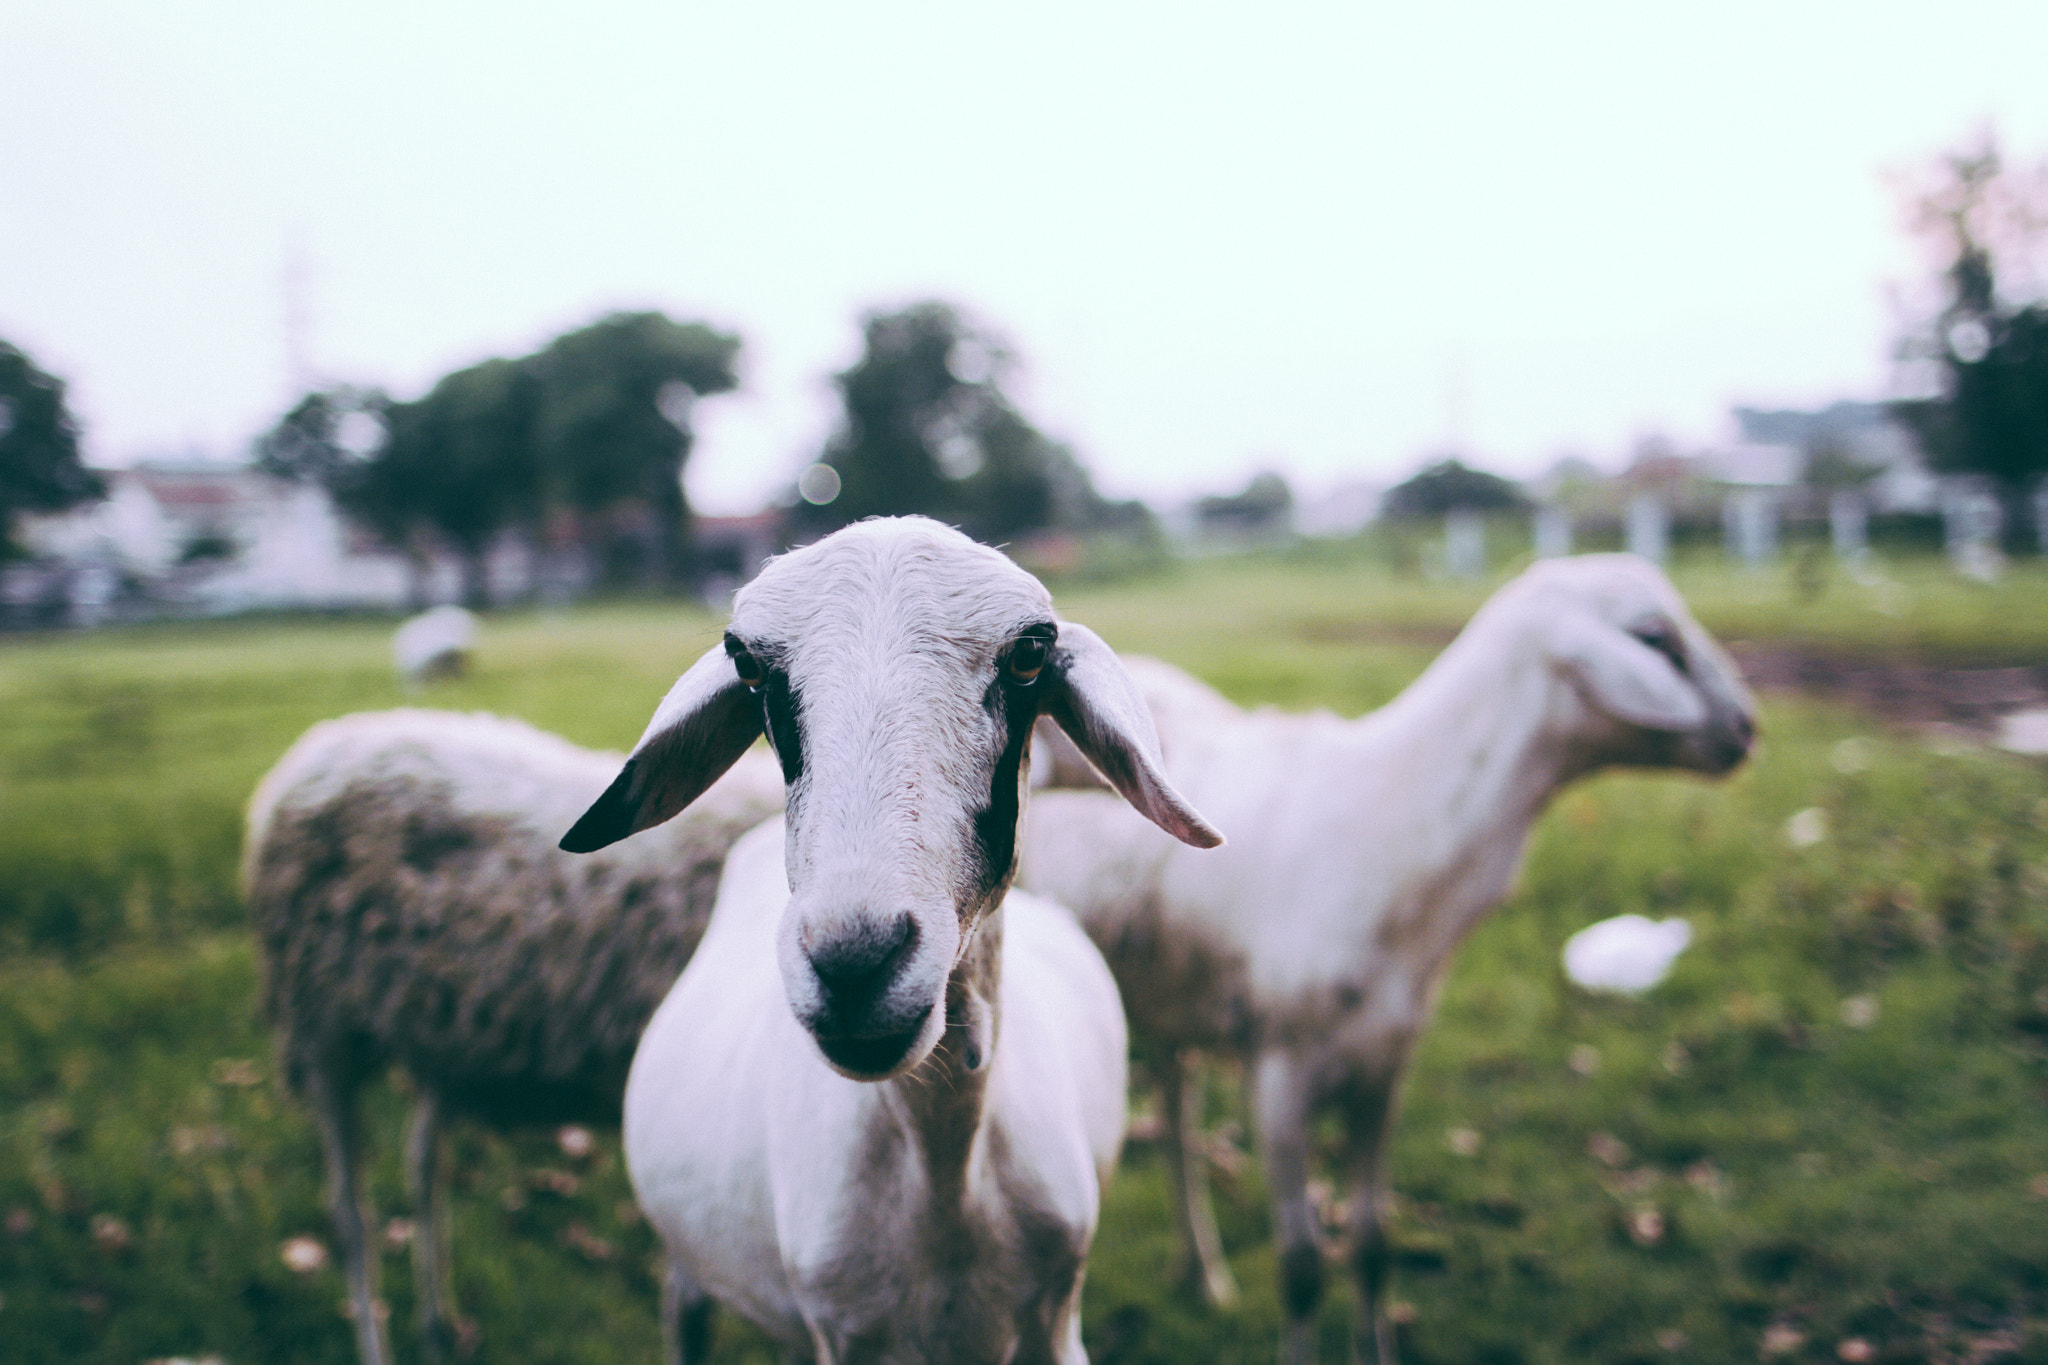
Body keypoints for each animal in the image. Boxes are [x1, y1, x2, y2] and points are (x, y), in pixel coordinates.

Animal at [241, 712, 782, 1365]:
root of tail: (315, 746)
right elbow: (690, 1316)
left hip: (436, 1040)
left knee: (423, 1165)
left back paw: (438, 1327)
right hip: (324, 1034)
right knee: (352, 1219)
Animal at [561, 517, 1220, 1358]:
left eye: (1029, 654)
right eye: (747, 664)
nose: (854, 964)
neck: (944, 1185)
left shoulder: (1056, 1314)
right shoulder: (843, 1329)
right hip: (688, 1257)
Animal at [1015, 556, 1753, 1365]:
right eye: (1652, 636)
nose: (1748, 728)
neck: (1396, 823)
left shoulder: (1384, 1064)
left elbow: (1372, 1245)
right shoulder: (1281, 1072)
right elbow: (1303, 1265)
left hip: (1168, 984)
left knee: (1176, 1112)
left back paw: (1202, 1274)